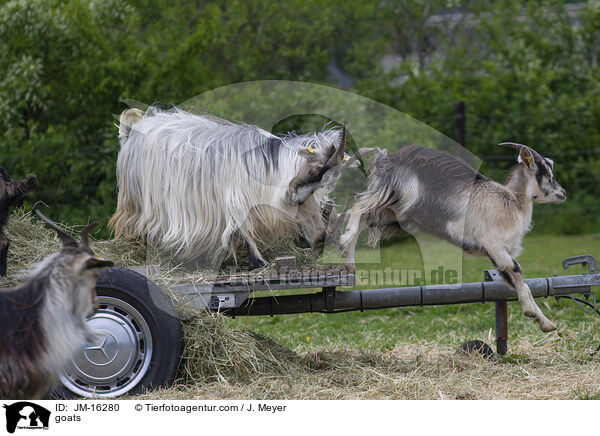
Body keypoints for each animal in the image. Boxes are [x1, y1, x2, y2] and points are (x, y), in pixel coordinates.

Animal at [342, 142, 568, 330]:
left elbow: (518, 280)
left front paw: (545, 322)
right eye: (547, 173)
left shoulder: (496, 256)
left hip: (393, 213)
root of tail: (385, 157)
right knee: (358, 205)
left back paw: (349, 262)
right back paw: (344, 244)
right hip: (394, 195)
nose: (563, 193)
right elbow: (518, 270)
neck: (513, 202)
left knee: (365, 217)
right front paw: (535, 315)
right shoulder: (493, 245)